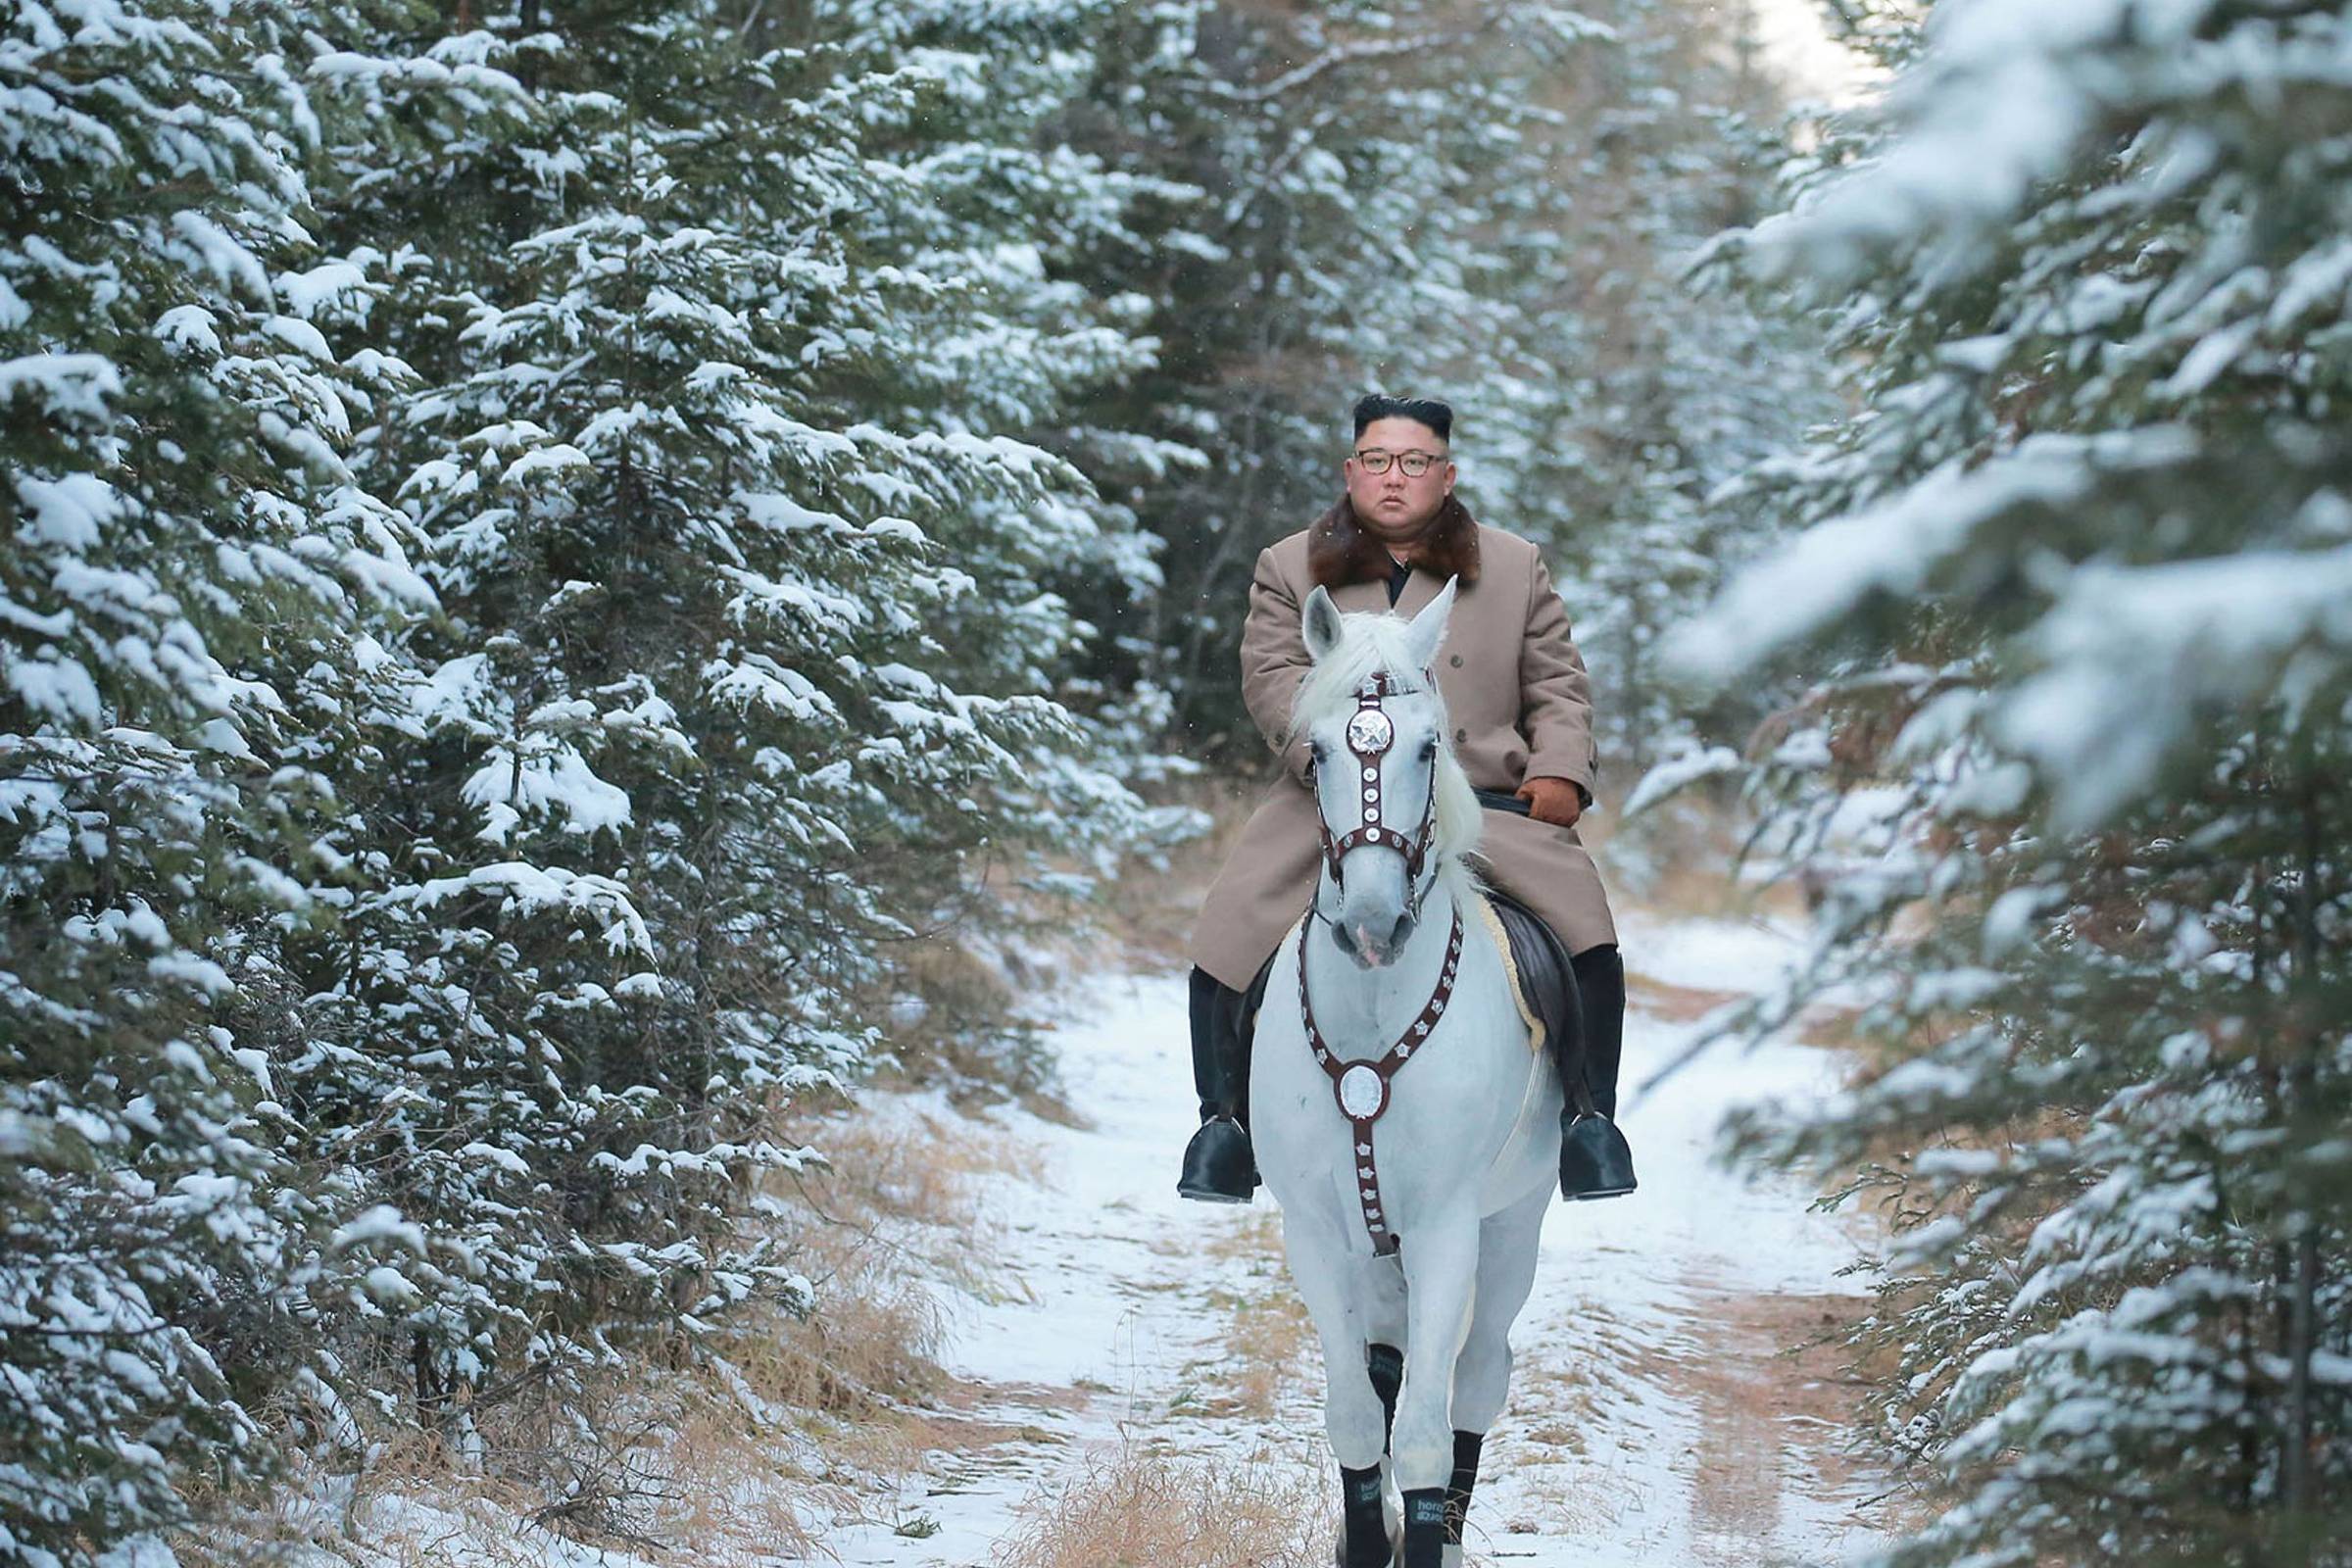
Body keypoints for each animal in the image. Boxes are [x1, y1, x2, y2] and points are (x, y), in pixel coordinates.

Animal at [1250, 582, 1561, 1568]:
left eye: (1430, 746)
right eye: (1316, 753)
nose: (1373, 923)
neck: (1374, 1013)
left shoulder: (1445, 1231)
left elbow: (1423, 1428)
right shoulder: (1314, 1233)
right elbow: (1358, 1412)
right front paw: (1364, 1537)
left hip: (1512, 1227)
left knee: (1478, 1378)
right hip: (1372, 1244)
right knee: (1386, 1366)